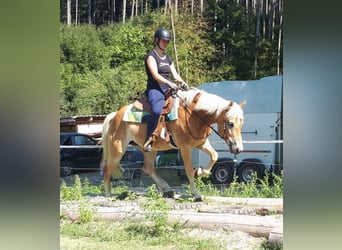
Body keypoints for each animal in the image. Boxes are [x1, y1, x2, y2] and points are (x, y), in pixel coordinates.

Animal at [100, 88, 244, 201]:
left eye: (241, 122)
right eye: (230, 123)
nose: (238, 149)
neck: (192, 115)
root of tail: (115, 115)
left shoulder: (201, 143)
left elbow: (214, 156)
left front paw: (201, 171)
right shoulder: (185, 147)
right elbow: (189, 170)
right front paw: (196, 193)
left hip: (149, 148)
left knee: (148, 168)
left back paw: (167, 189)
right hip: (117, 149)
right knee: (107, 168)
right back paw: (108, 195)